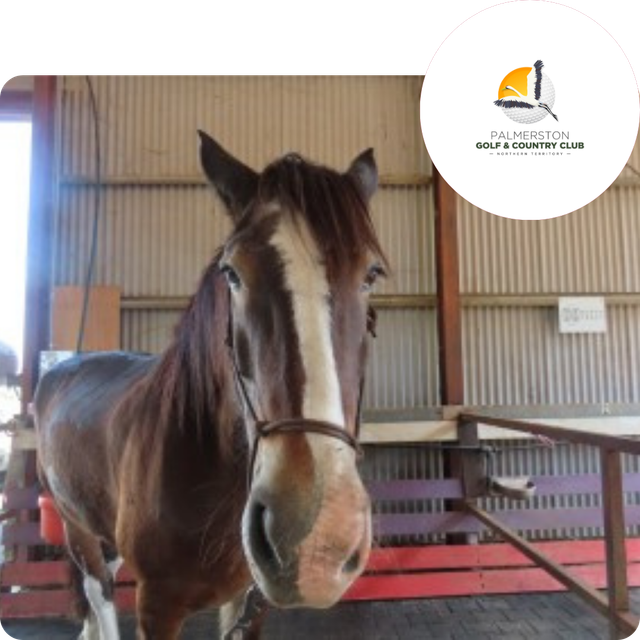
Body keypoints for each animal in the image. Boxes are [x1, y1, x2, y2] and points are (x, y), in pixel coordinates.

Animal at [34, 131, 388, 640]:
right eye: (232, 273)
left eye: (371, 274)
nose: (317, 541)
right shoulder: (157, 607)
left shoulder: (250, 604)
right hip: (75, 528)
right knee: (100, 597)